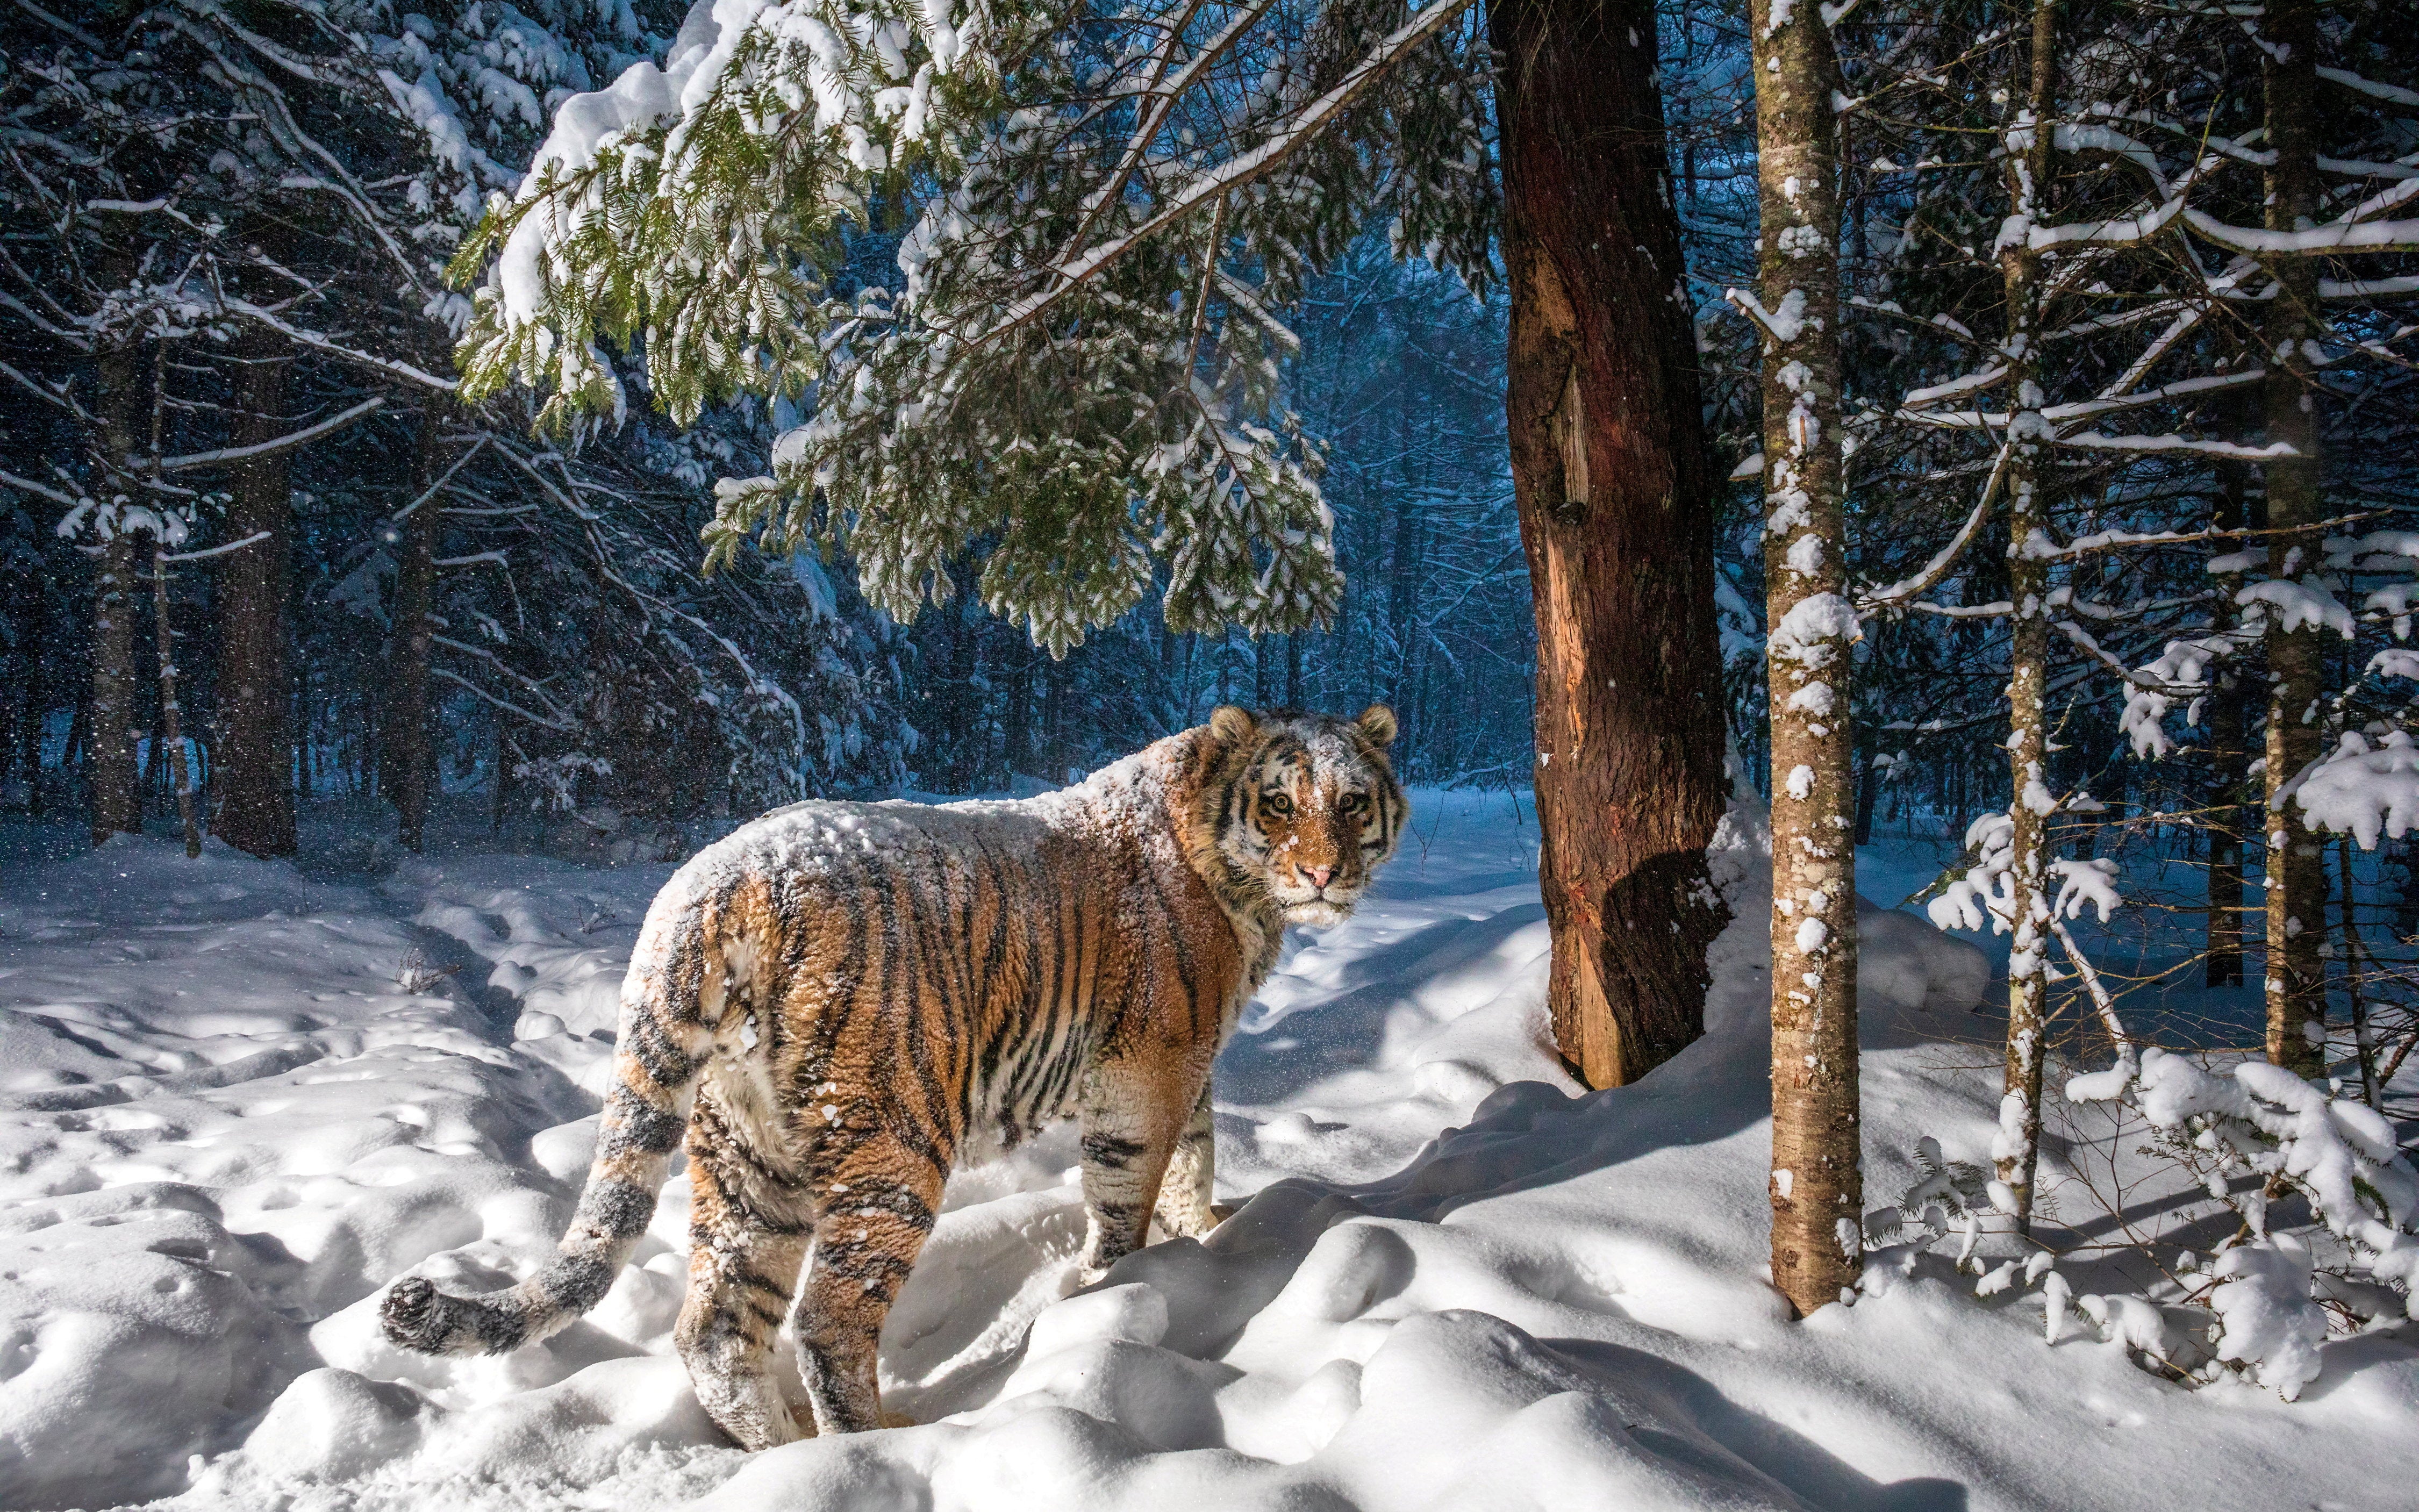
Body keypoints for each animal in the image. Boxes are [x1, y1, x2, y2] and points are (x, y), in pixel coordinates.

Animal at [370, 706, 1413, 1451]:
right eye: (1280, 804)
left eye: (1352, 802)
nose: (1322, 874)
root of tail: (706, 887)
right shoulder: (1148, 1067)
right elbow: (1130, 1190)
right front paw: (1121, 1285)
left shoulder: (1190, 1068)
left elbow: (1197, 1156)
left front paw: (1206, 1234)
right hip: (893, 1142)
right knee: (828, 1324)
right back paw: (873, 1449)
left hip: (747, 1156)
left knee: (717, 1326)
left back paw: (783, 1453)